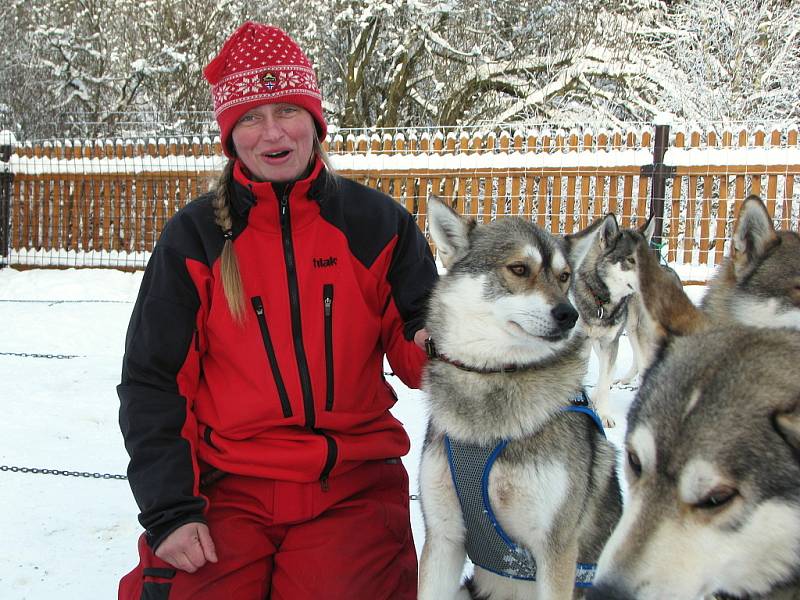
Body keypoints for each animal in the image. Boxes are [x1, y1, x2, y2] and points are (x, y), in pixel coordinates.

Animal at [418, 198, 624, 600]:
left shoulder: (555, 551)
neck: (496, 374)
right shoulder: (444, 537)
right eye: (518, 268)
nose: (569, 314)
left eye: (564, 276)